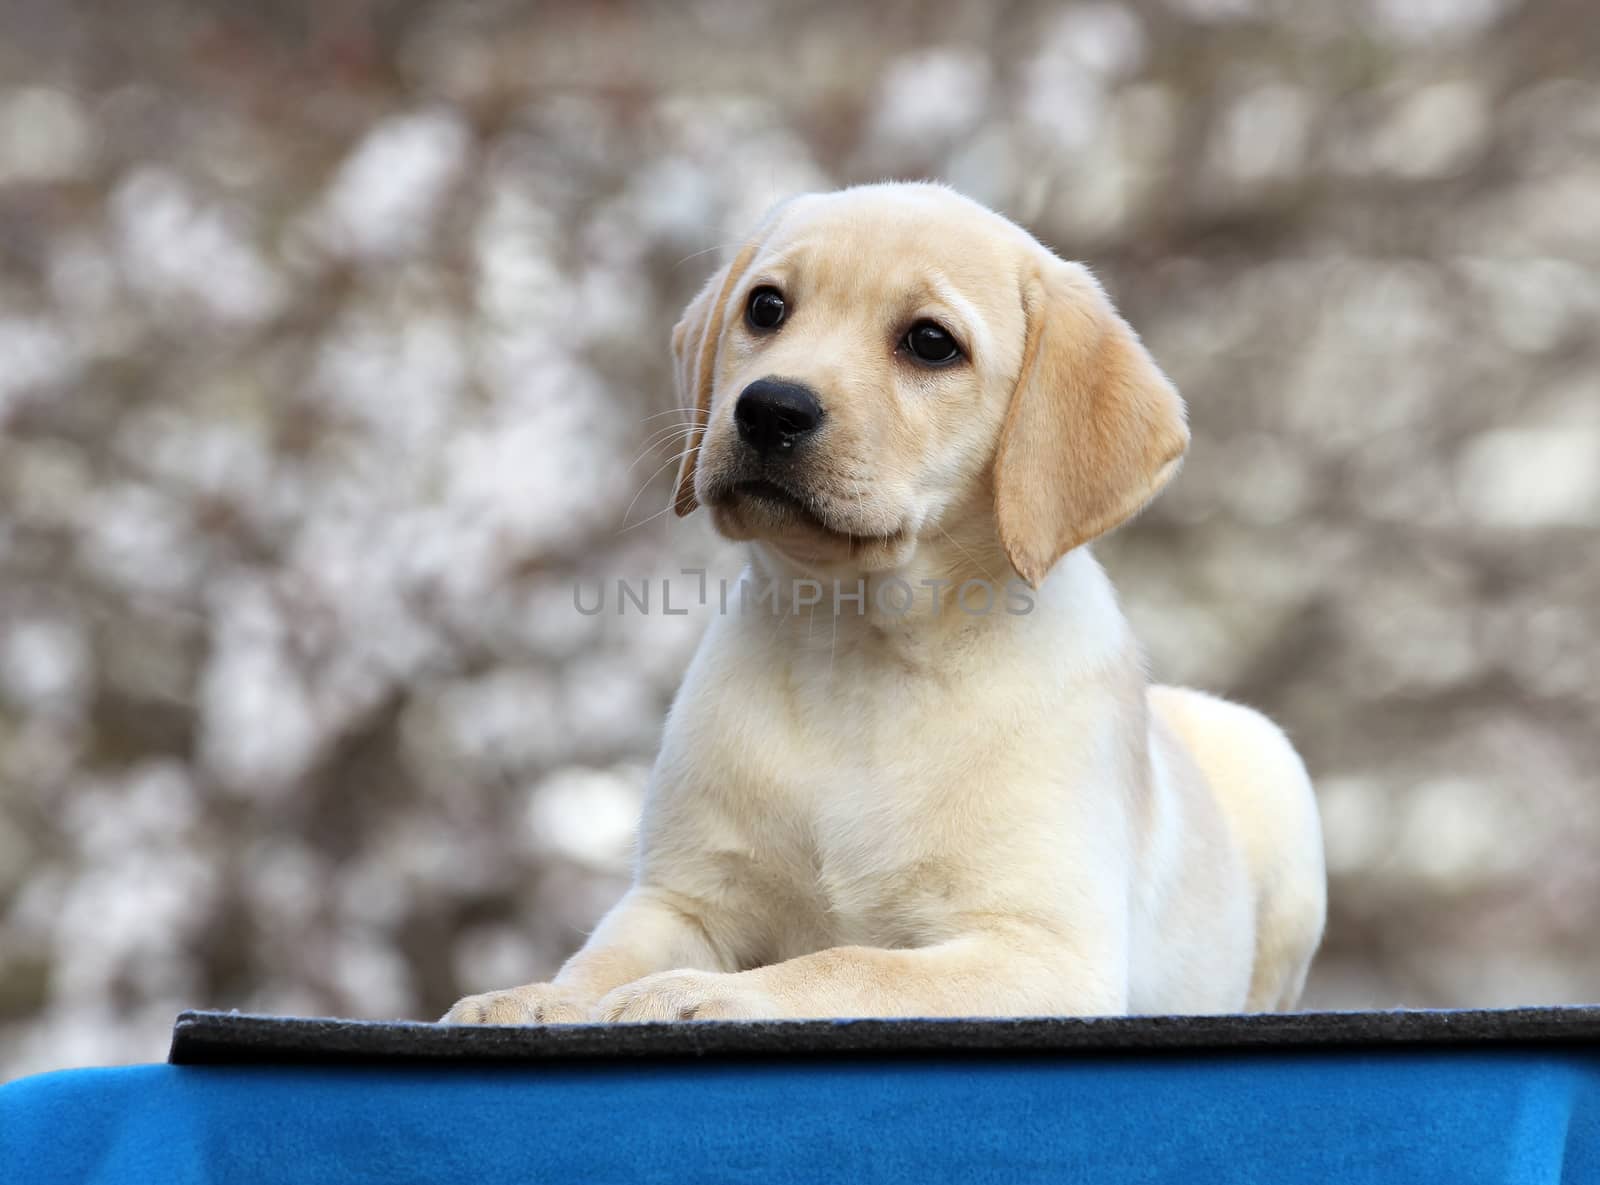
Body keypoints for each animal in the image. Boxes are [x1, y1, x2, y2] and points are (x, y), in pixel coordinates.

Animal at [441, 179, 1324, 1023]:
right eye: (766, 307)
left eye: (930, 342)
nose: (769, 406)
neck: (857, 647)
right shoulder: (678, 897)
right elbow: (603, 959)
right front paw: (537, 997)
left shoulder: (1040, 950)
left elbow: (848, 964)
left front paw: (702, 994)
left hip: (1274, 781)